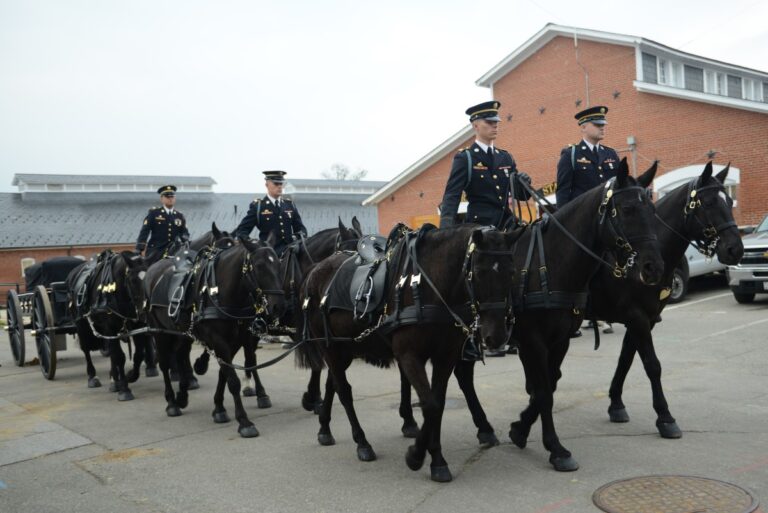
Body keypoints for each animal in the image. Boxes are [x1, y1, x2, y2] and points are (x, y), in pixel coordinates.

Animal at [66, 248, 152, 400]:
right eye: (133, 280)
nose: (144, 312)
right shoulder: (110, 327)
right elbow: (119, 356)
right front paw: (124, 389)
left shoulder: (136, 326)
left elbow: (138, 354)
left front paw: (130, 376)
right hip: (82, 325)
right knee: (86, 349)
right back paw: (92, 377)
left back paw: (114, 380)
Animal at [144, 236, 284, 436]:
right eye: (259, 266)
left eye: (279, 263)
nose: (278, 306)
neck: (220, 293)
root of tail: (153, 269)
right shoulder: (219, 341)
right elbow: (232, 380)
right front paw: (244, 421)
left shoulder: (236, 341)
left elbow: (224, 374)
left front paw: (219, 408)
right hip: (159, 332)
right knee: (164, 364)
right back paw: (171, 402)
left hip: (183, 334)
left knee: (180, 355)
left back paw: (183, 394)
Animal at [296, 223, 520, 480]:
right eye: (479, 272)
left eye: (512, 272)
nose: (497, 337)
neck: (428, 285)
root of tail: (314, 271)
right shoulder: (410, 356)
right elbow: (430, 405)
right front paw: (417, 456)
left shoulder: (445, 357)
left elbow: (438, 404)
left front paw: (436, 459)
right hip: (329, 347)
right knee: (344, 391)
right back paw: (362, 443)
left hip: (344, 349)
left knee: (332, 383)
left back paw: (324, 427)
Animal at [588, 163, 744, 436]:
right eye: (710, 202)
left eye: (729, 199)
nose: (735, 249)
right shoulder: (637, 317)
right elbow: (652, 365)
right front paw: (665, 417)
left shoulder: (644, 319)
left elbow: (626, 359)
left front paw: (616, 403)